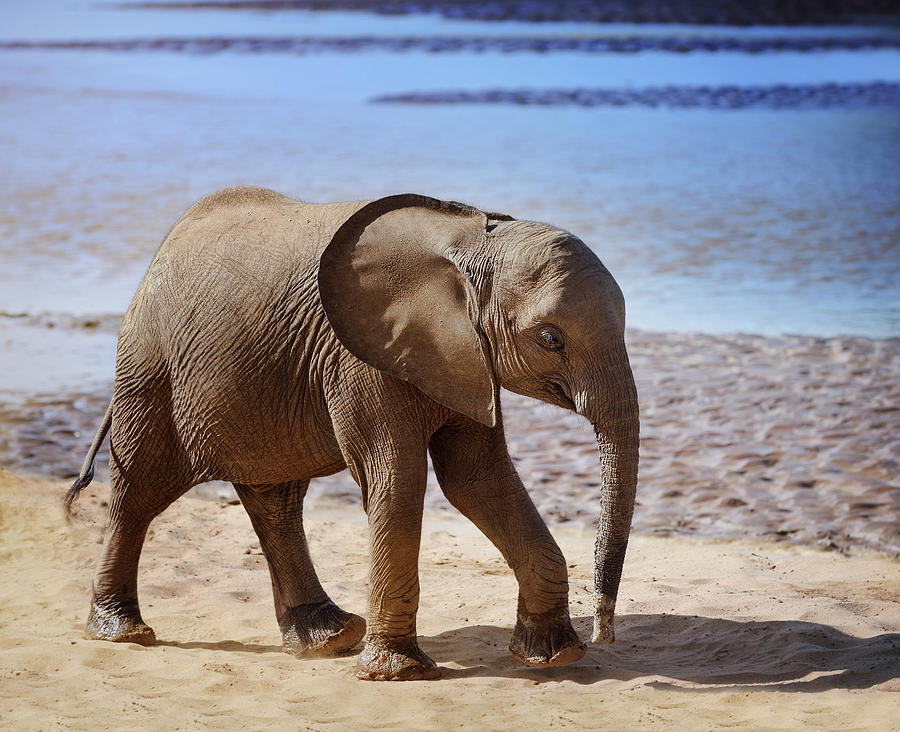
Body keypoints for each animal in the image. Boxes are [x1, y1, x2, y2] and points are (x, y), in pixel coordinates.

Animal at [65, 187, 640, 680]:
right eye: (550, 339)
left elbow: (478, 480)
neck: (472, 241)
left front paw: (553, 656)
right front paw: (399, 674)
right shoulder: (359, 357)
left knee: (276, 502)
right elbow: (399, 480)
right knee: (139, 491)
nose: (605, 631)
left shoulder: (462, 359)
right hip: (148, 369)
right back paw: (124, 633)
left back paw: (329, 639)